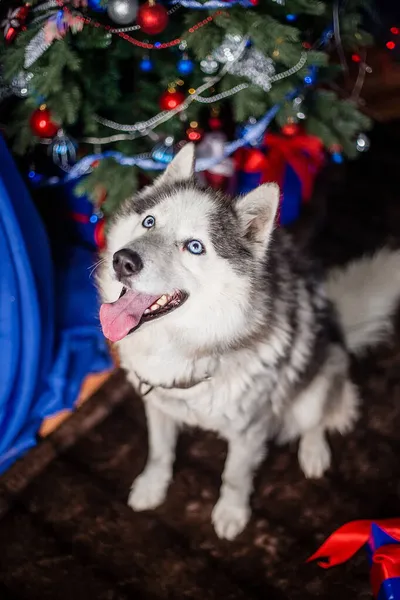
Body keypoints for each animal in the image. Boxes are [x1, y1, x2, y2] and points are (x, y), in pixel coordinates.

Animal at [98, 144, 400, 540]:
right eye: (149, 222)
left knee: (318, 418)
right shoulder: (158, 407)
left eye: (194, 247)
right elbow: (159, 452)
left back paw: (314, 453)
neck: (190, 346)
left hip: (316, 385)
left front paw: (231, 512)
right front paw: (152, 486)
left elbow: (234, 477)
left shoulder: (249, 431)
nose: (124, 261)